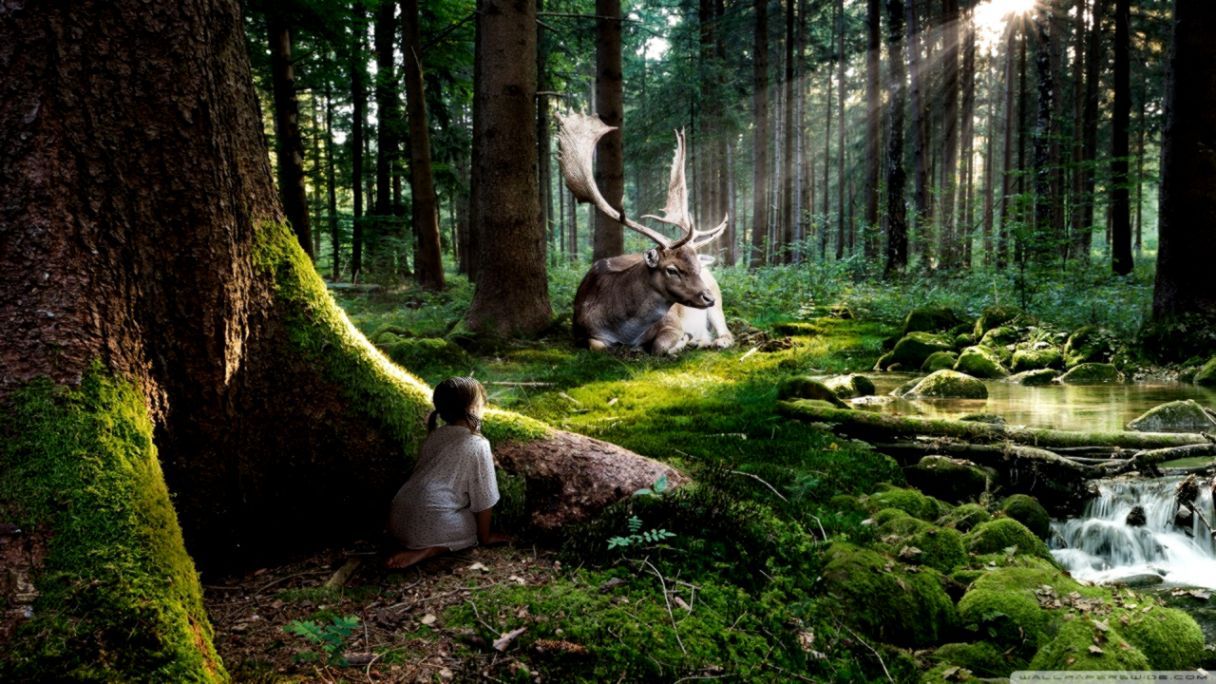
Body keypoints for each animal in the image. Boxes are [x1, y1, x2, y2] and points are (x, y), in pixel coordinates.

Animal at [557, 112, 728, 355]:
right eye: (672, 270)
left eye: (696, 266)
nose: (707, 297)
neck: (624, 331)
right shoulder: (579, 330)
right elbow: (597, 345)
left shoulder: (672, 323)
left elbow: (659, 345)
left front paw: (681, 342)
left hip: (718, 300)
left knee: (727, 332)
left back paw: (712, 341)